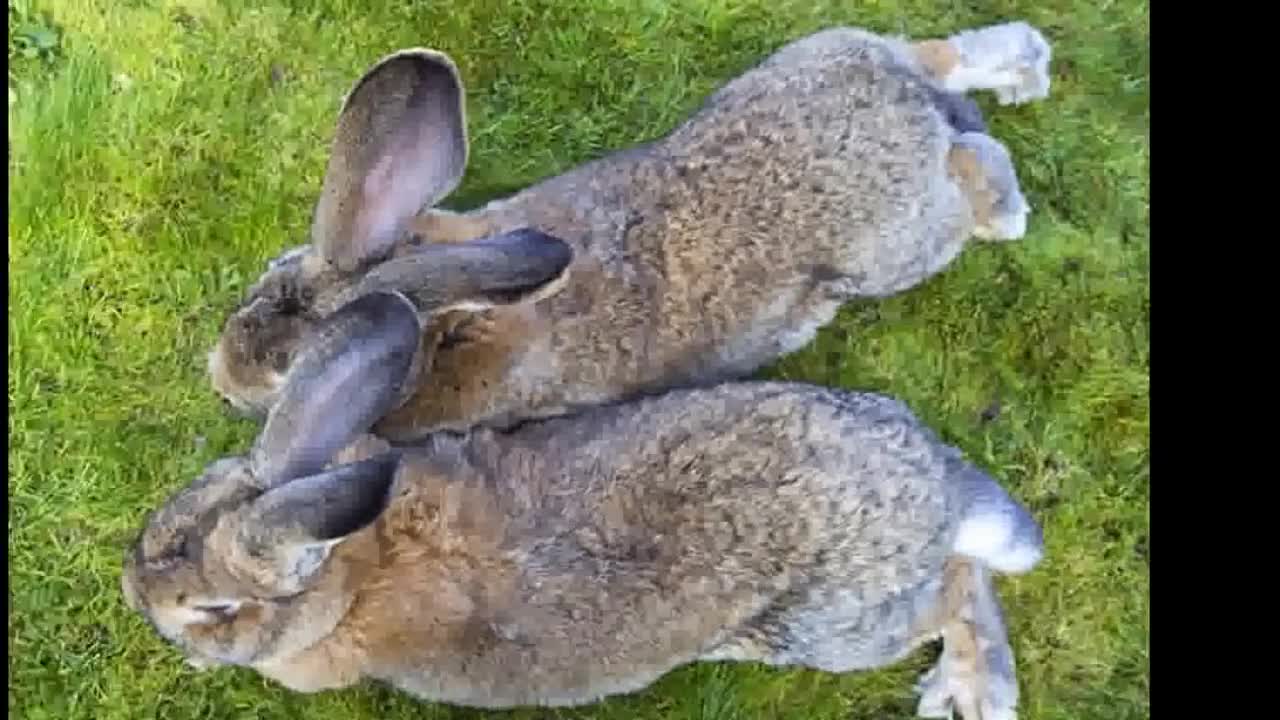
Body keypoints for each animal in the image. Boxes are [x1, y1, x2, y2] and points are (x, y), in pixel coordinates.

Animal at [124, 288, 1044, 712]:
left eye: (212, 609)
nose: (133, 592)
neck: (353, 567)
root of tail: (933, 486)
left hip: (832, 629)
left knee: (957, 590)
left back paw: (967, 692)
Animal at [207, 19, 1049, 440]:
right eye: (264, 281)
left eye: (291, 373)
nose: (219, 378)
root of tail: (905, 103)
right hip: (838, 53)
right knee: (945, 57)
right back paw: (1025, 71)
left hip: (900, 246)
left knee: (972, 165)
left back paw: (1008, 208)